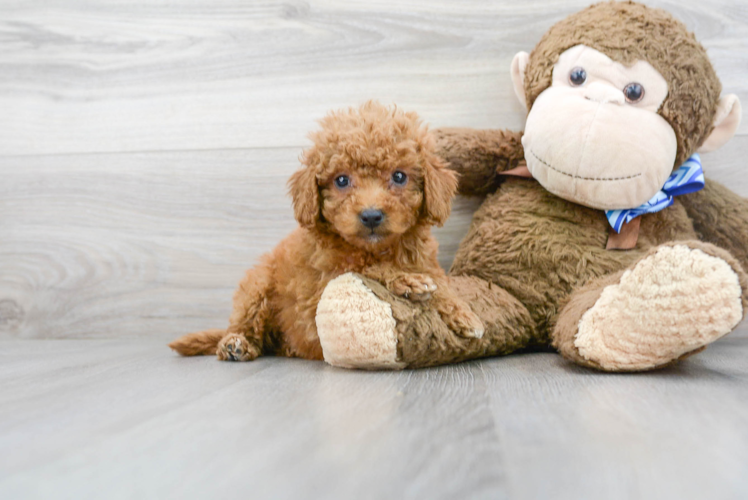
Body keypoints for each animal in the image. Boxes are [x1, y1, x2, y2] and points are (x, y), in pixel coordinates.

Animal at [168, 99, 486, 362]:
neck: (377, 248)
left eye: (399, 176)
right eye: (341, 180)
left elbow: (441, 286)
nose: (371, 215)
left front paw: (465, 314)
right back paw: (236, 343)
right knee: (243, 324)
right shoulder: (328, 280)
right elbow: (370, 268)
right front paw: (407, 281)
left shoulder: (427, 263)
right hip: (256, 286)